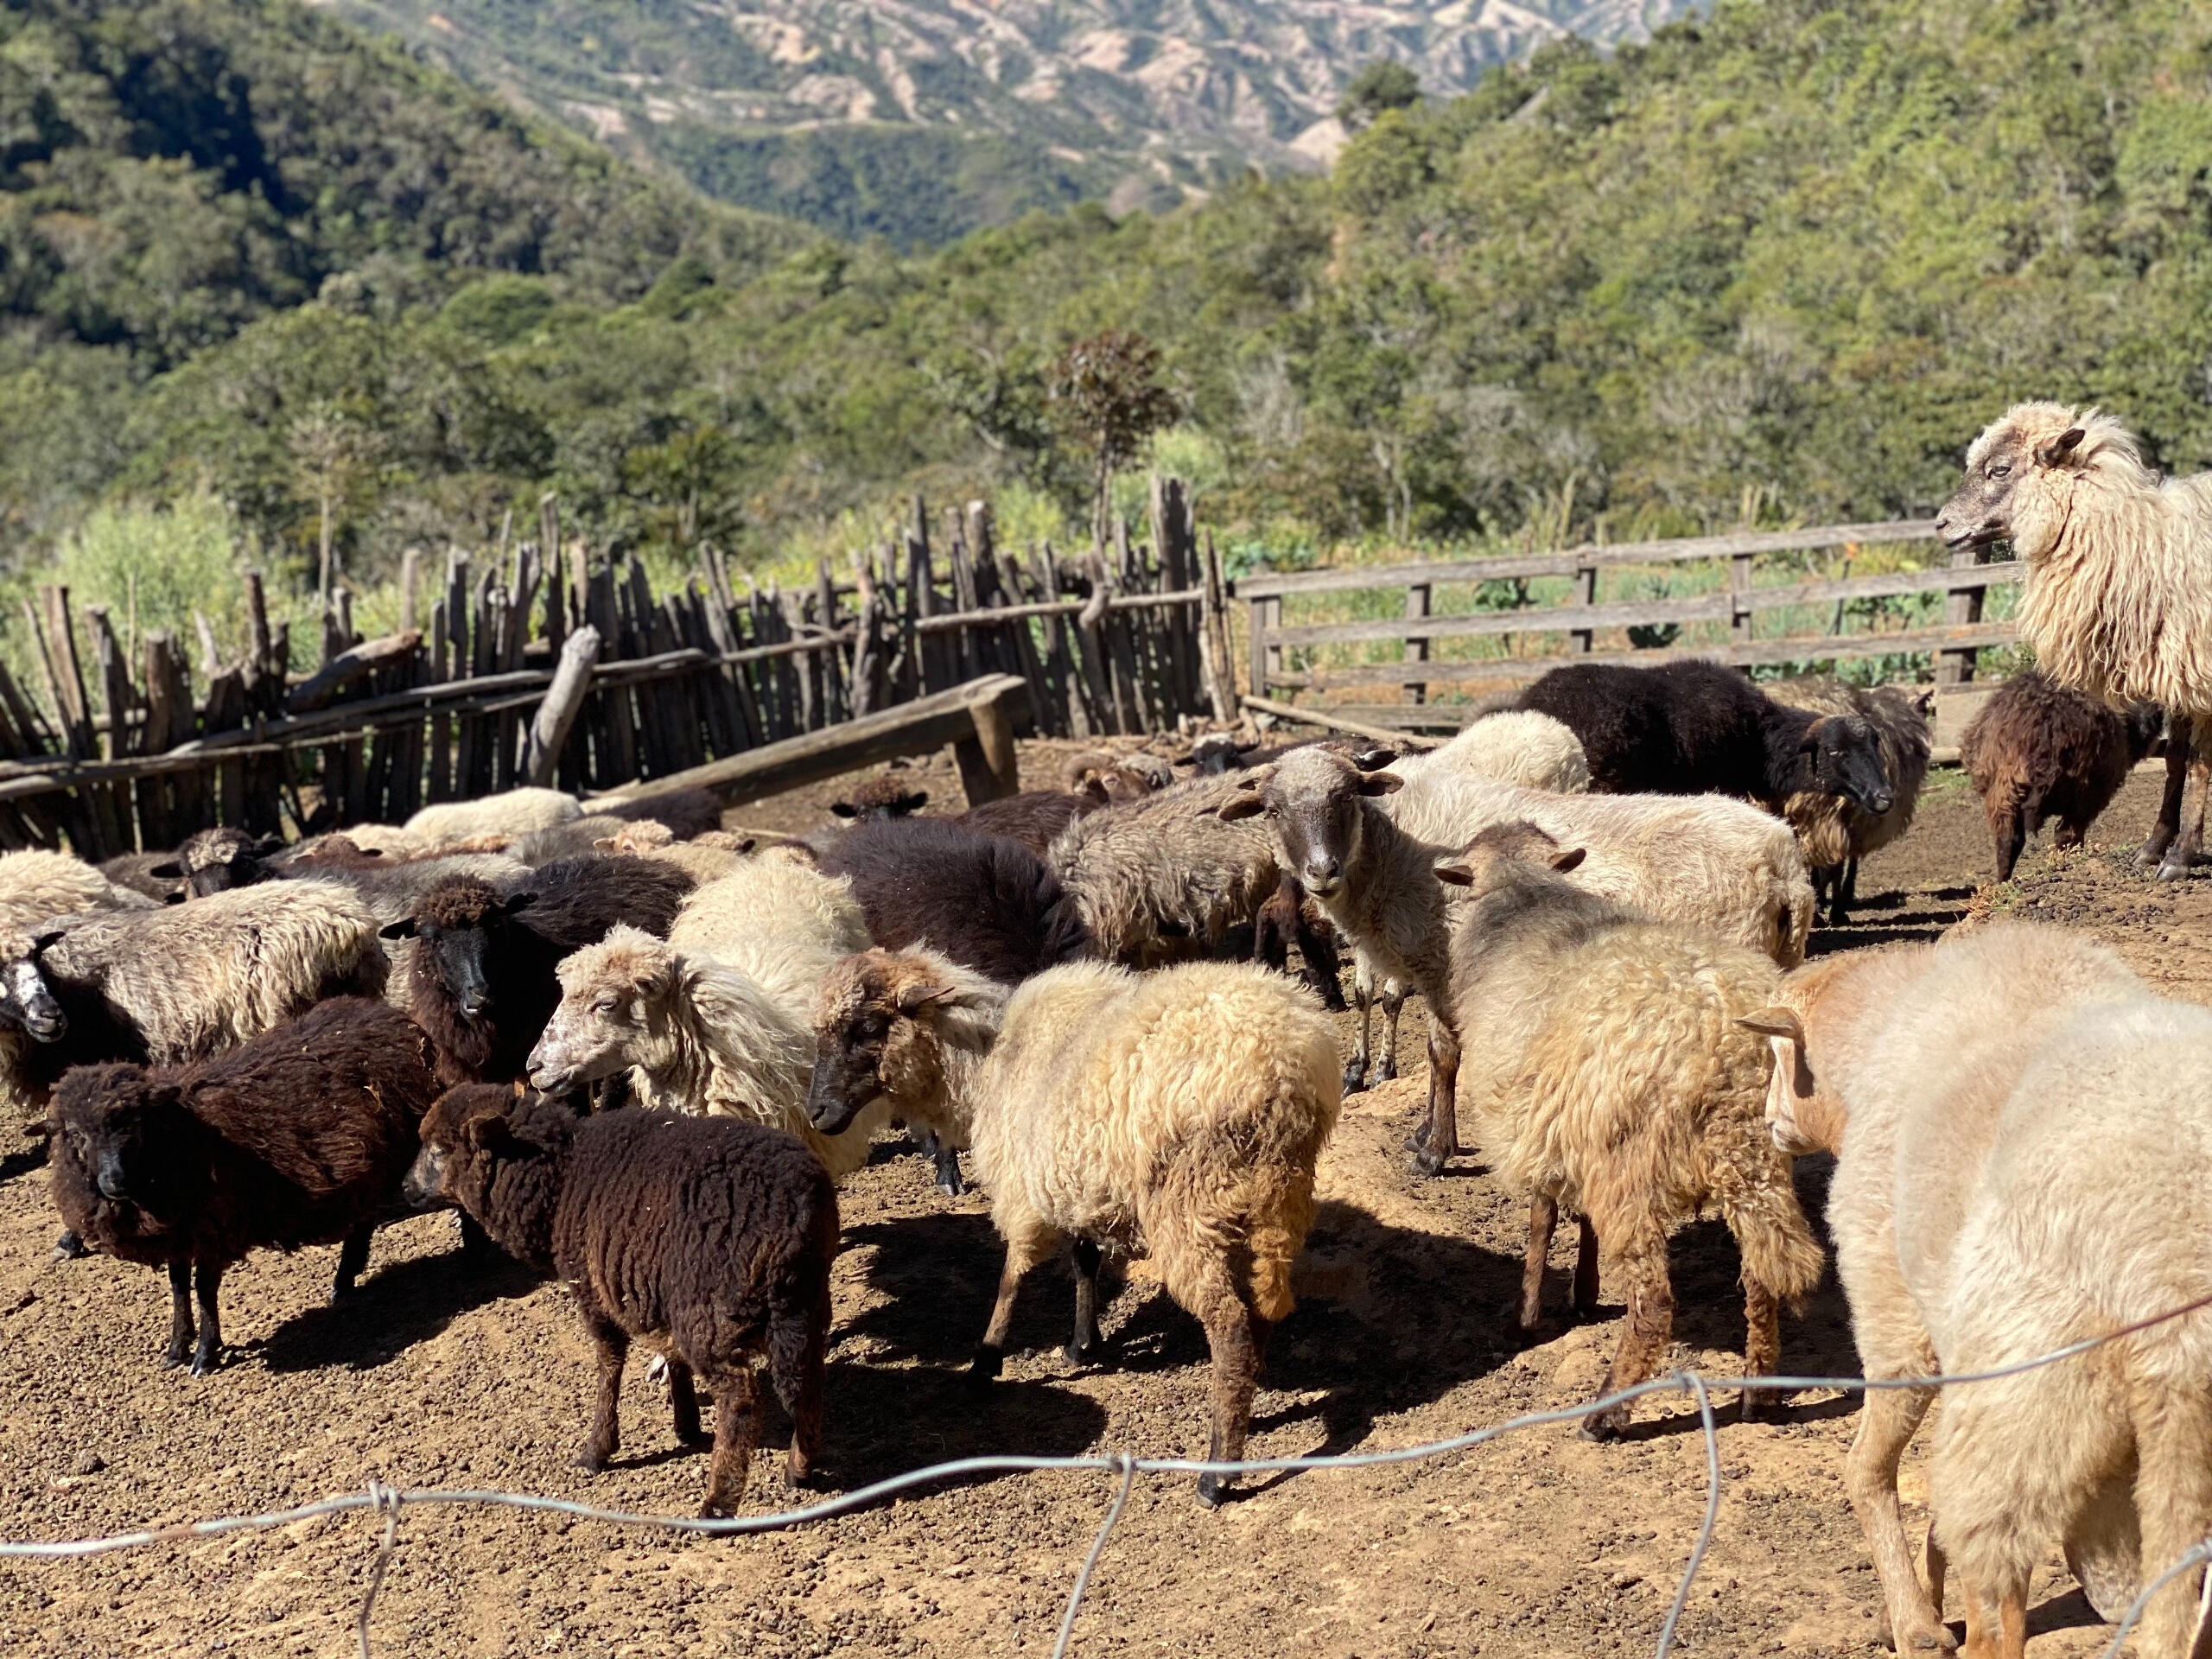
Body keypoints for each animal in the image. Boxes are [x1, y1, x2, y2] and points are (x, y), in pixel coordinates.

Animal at [44, 998, 437, 1373]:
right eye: (75, 1134)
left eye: (135, 1124)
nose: (115, 1181)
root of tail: (391, 1016)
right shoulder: (180, 1234)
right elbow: (178, 1288)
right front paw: (176, 1349)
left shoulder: (215, 1227)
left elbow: (203, 1290)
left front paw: (205, 1355)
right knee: (362, 1220)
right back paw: (344, 1281)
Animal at [404, 1084, 836, 1516]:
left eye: (440, 1149)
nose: (406, 1188)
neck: (560, 1179)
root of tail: (796, 1217)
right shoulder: (658, 1291)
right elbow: (672, 1355)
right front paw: (686, 1424)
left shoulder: (592, 1291)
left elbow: (609, 1364)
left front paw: (597, 1450)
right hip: (804, 1305)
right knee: (807, 1381)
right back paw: (799, 1468)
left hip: (709, 1312)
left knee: (740, 1398)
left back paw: (717, 1502)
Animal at [807, 947, 1341, 1506]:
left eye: (867, 1027)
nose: (816, 1112)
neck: (984, 1061)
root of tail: (1286, 1065)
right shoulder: (1076, 1178)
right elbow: (1085, 1259)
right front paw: (1082, 1343)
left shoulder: (1024, 1185)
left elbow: (1012, 1276)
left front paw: (985, 1363)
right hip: (1277, 1198)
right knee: (1261, 1311)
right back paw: (1243, 1419)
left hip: (1191, 1200)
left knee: (1230, 1325)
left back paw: (1216, 1474)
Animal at [1434, 823, 1823, 1434]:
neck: (1524, 893)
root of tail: (1723, 1034)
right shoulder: (1573, 1128)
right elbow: (1576, 1220)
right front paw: (1583, 1294)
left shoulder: (1539, 1126)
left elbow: (1542, 1220)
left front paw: (1528, 1317)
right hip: (1755, 1155)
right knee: (1764, 1276)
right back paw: (1757, 1395)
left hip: (1633, 1167)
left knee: (1655, 1303)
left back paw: (1607, 1413)